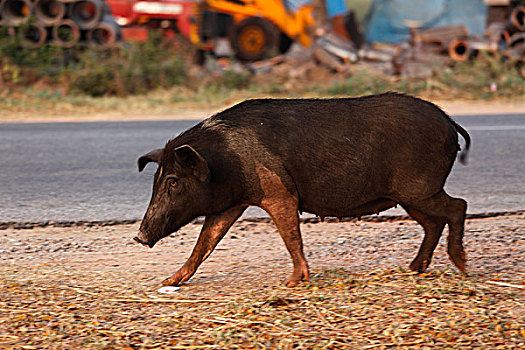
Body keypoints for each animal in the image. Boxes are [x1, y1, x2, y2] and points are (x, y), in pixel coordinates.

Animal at [135, 93, 470, 288]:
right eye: (156, 180)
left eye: (173, 181)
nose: (139, 237)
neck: (225, 161)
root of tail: (450, 122)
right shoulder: (230, 204)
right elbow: (205, 242)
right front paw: (169, 281)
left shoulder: (278, 192)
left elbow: (290, 235)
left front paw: (292, 283)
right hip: (409, 195)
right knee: (433, 222)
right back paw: (413, 270)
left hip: (420, 188)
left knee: (458, 206)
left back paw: (462, 268)